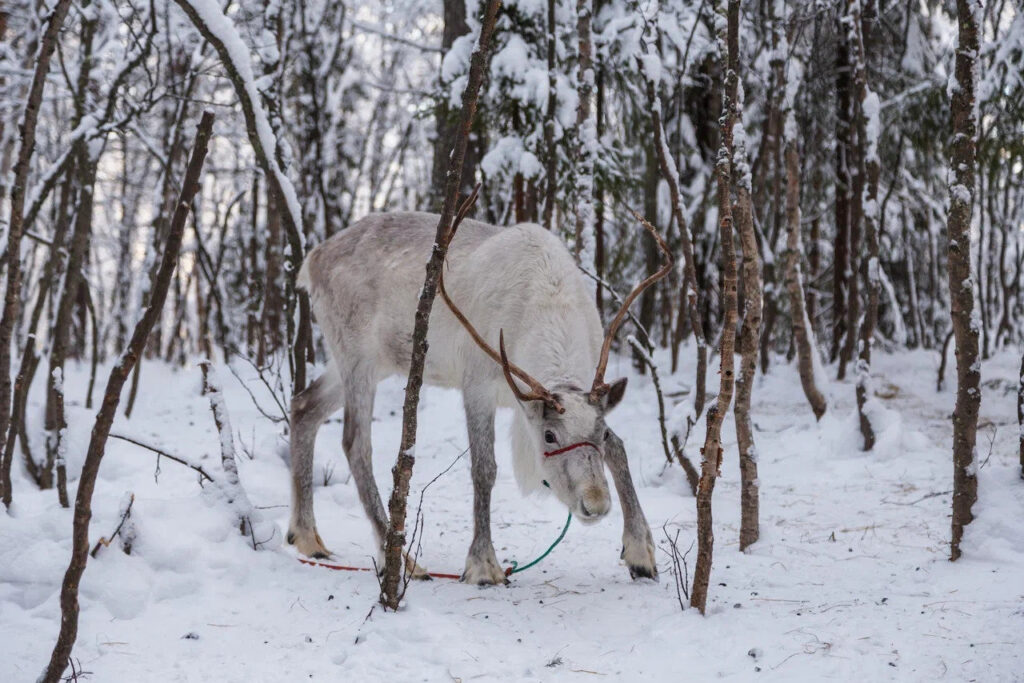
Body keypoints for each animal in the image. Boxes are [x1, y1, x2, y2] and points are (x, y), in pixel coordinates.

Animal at [287, 202, 670, 585]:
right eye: (549, 436)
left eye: (599, 433)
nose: (596, 504)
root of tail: (314, 259)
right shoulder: (477, 385)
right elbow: (484, 469)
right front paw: (483, 564)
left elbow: (619, 448)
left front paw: (640, 552)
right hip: (357, 357)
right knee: (355, 443)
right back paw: (403, 560)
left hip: (367, 360)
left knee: (303, 406)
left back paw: (307, 537)